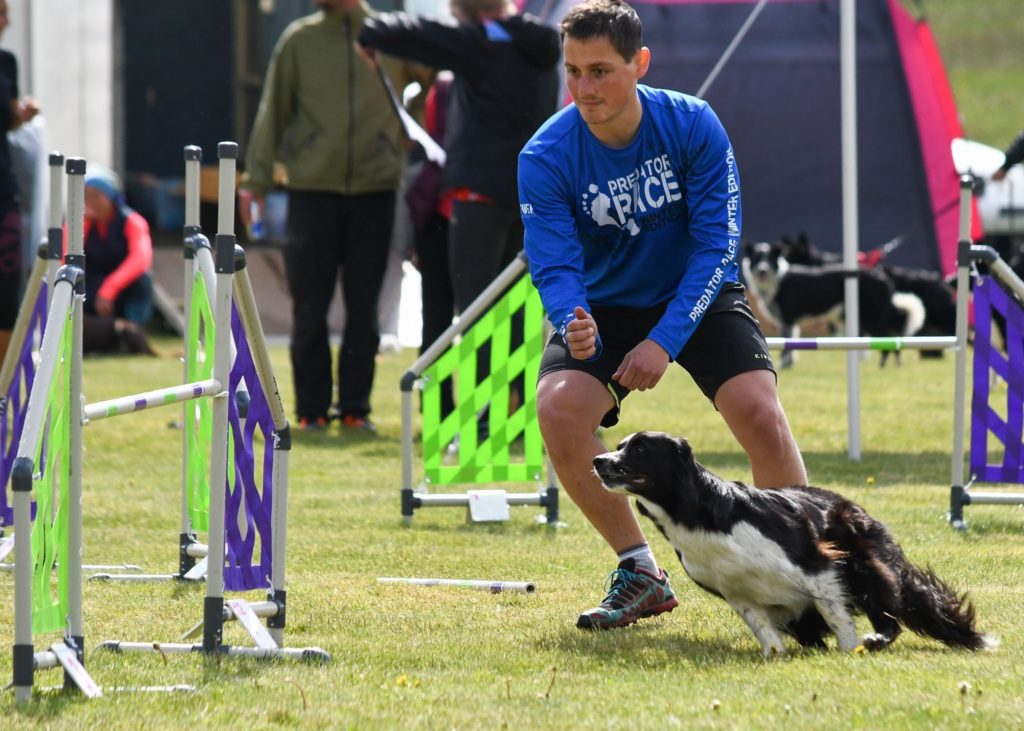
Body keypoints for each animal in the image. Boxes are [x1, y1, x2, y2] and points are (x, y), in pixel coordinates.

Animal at [593, 430, 991, 659]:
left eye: (640, 449)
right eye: (619, 446)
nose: (597, 460)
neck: (697, 512)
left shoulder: (818, 566)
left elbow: (837, 616)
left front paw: (851, 651)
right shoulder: (736, 591)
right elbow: (766, 634)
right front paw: (775, 657)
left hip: (863, 559)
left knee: (888, 612)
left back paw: (876, 639)